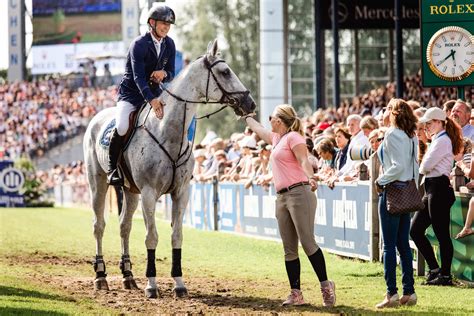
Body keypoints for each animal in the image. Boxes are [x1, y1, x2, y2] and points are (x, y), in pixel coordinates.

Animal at [83, 40, 258, 298]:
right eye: (225, 72)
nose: (250, 104)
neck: (168, 131)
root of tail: (96, 119)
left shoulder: (181, 192)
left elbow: (177, 236)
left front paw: (179, 283)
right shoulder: (149, 193)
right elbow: (152, 237)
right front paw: (152, 285)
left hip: (131, 191)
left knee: (124, 227)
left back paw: (128, 276)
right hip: (98, 185)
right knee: (98, 226)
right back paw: (101, 276)